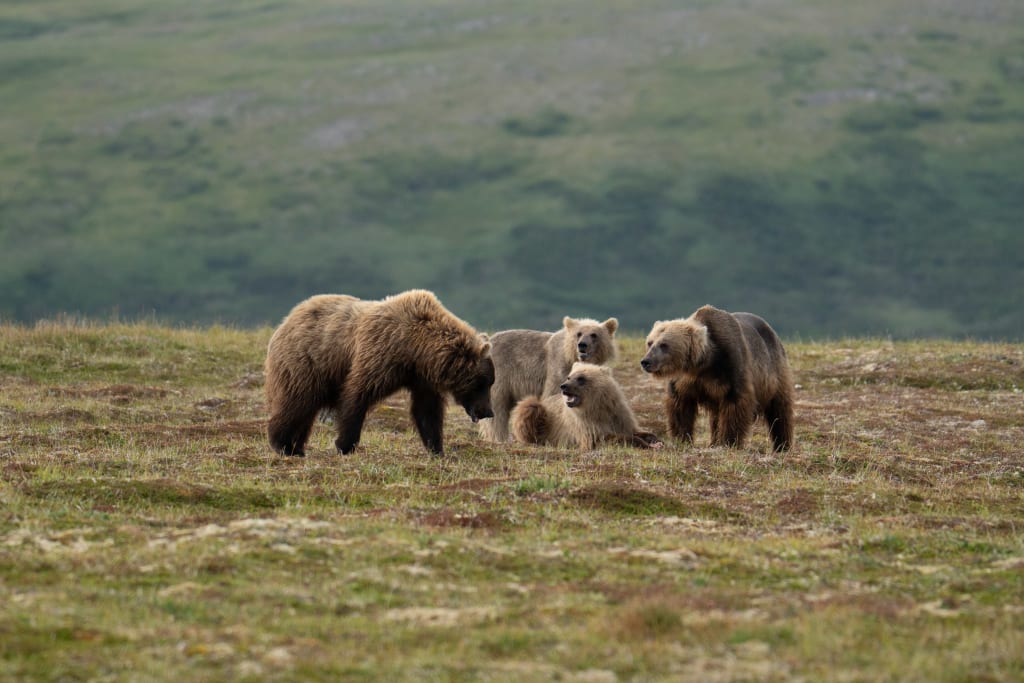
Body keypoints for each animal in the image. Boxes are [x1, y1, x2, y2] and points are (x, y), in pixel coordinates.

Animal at [264, 289, 494, 457]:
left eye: (490, 381)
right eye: (482, 383)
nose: (488, 412)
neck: (415, 349)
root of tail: (285, 321)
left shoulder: (421, 377)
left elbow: (426, 410)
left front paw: (436, 449)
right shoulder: (381, 353)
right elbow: (357, 394)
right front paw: (344, 445)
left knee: (306, 408)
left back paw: (297, 447)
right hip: (306, 363)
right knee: (297, 402)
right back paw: (283, 444)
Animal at [479, 316, 618, 442]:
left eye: (594, 335)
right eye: (578, 333)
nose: (582, 345)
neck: (571, 356)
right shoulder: (558, 367)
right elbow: (553, 393)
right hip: (501, 372)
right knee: (497, 407)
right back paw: (500, 437)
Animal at [510, 362, 661, 449]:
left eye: (581, 378)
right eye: (569, 376)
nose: (564, 386)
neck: (598, 407)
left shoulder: (619, 415)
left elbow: (633, 429)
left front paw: (653, 439)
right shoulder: (585, 424)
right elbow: (601, 438)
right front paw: (644, 443)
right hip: (539, 412)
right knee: (528, 407)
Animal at [640, 305, 794, 452]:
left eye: (664, 344)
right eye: (650, 342)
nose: (646, 361)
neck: (704, 363)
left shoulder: (732, 368)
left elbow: (735, 405)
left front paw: (729, 441)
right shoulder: (683, 380)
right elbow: (680, 407)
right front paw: (681, 439)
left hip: (774, 369)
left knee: (780, 410)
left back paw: (782, 445)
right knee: (715, 417)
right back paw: (713, 442)